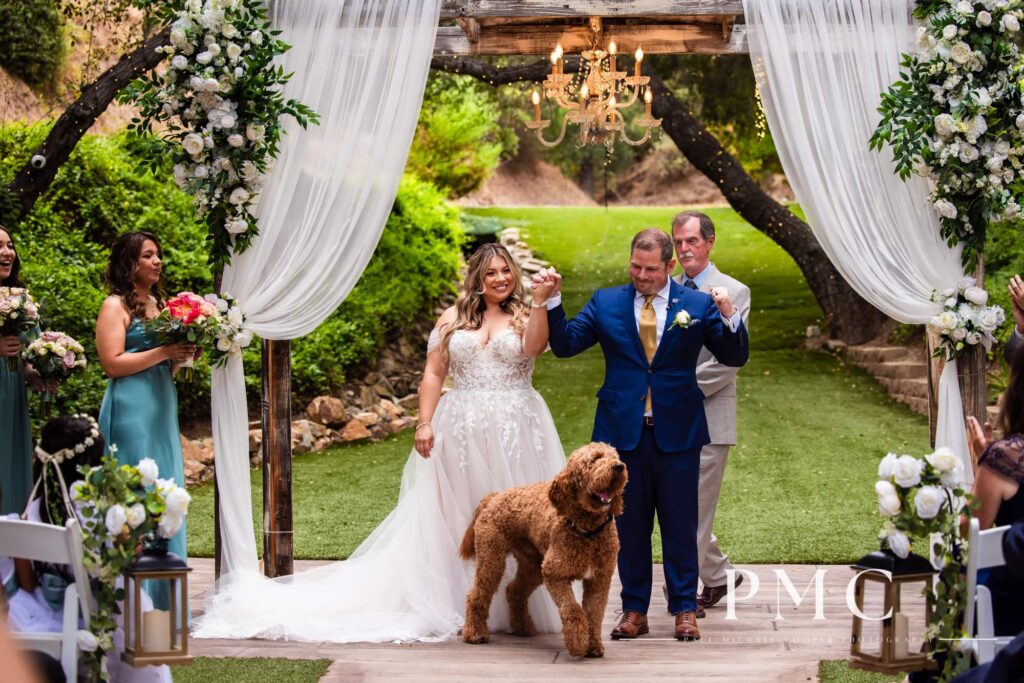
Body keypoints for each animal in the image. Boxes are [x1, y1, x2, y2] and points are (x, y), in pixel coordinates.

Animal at [462, 444, 622, 655]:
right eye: (595, 459)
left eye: (615, 456)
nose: (619, 466)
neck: (589, 531)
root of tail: (493, 496)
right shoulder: (554, 573)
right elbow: (572, 609)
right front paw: (578, 642)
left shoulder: (599, 579)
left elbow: (594, 614)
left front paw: (593, 645)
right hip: (492, 558)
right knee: (476, 595)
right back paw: (474, 632)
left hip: (532, 566)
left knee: (514, 590)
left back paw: (522, 627)